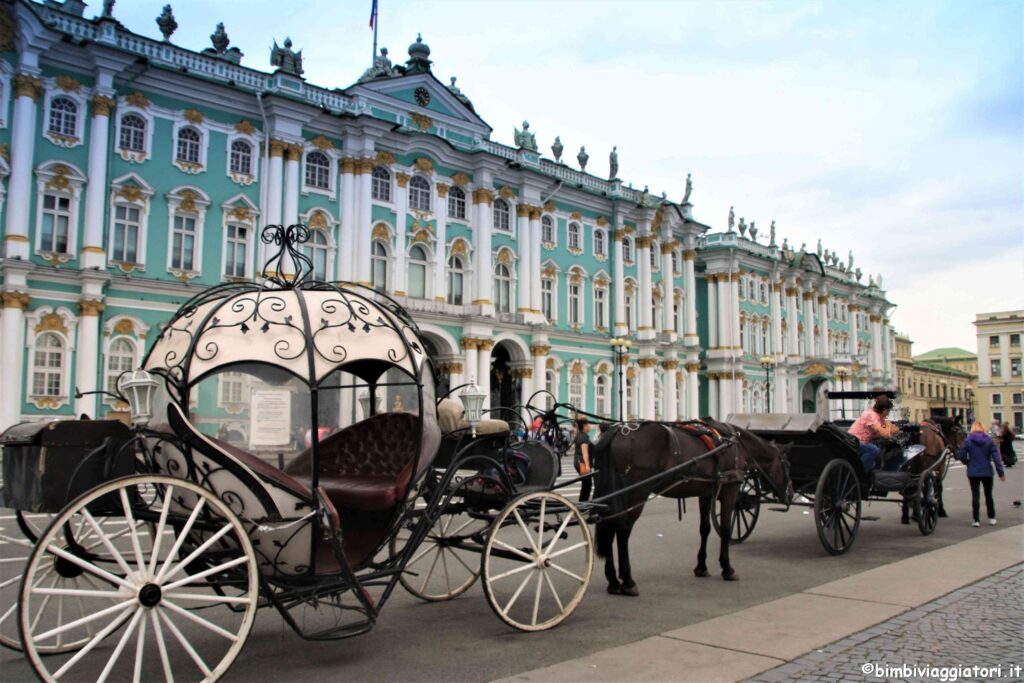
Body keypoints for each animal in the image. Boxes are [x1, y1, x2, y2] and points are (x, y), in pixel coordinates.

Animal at [589, 413, 786, 593]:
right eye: (787, 465)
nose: (789, 494)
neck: (734, 443)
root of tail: (616, 431)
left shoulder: (706, 494)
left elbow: (704, 529)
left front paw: (701, 567)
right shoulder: (730, 490)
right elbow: (725, 529)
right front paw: (727, 568)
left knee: (610, 526)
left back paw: (613, 581)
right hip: (637, 492)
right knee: (622, 529)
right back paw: (628, 581)